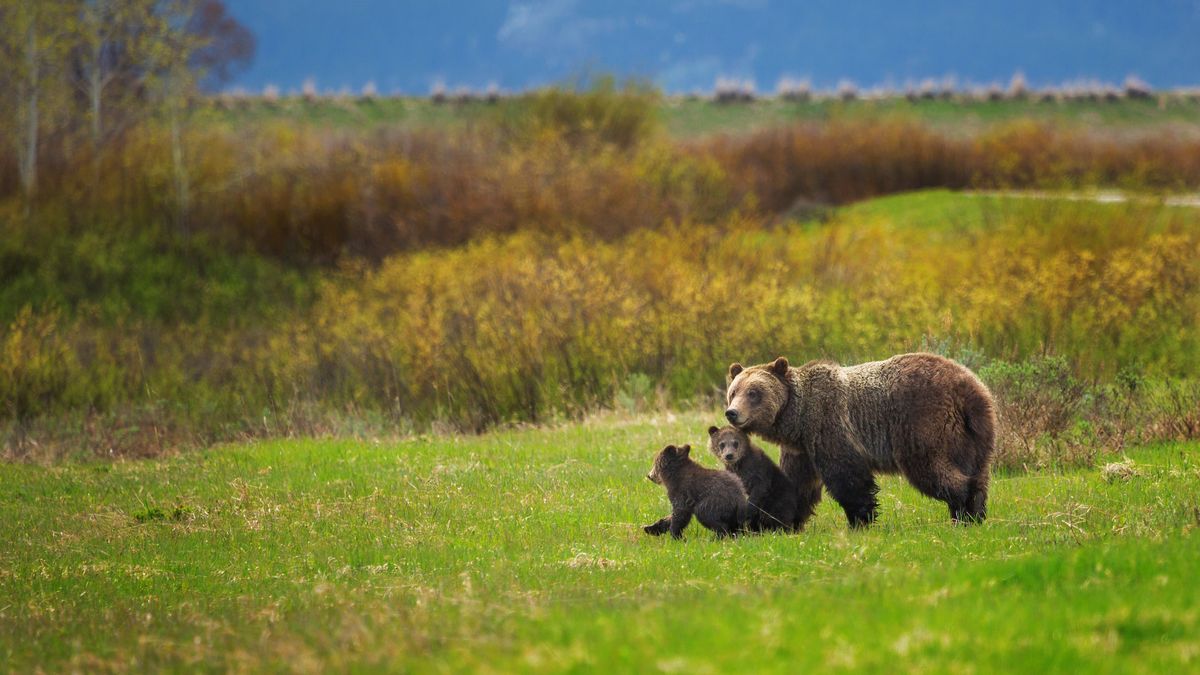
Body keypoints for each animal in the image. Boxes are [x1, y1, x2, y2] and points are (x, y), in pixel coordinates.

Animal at [724, 353, 995, 529]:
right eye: (733, 392)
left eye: (754, 393)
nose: (732, 413)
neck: (797, 419)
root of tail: (967, 387)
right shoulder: (801, 448)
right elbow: (795, 482)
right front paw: (775, 522)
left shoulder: (829, 426)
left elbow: (847, 477)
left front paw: (860, 520)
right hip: (975, 434)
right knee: (977, 470)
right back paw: (975, 511)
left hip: (923, 422)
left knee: (931, 468)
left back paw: (964, 510)